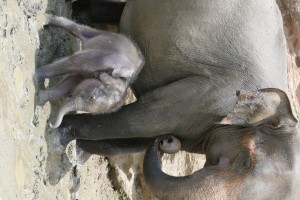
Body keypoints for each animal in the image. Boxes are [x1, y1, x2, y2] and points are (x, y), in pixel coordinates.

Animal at [57, 0, 298, 199]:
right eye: (246, 162)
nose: (167, 141)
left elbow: (134, 139)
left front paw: (78, 152)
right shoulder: (208, 95)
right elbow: (143, 120)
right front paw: (60, 136)